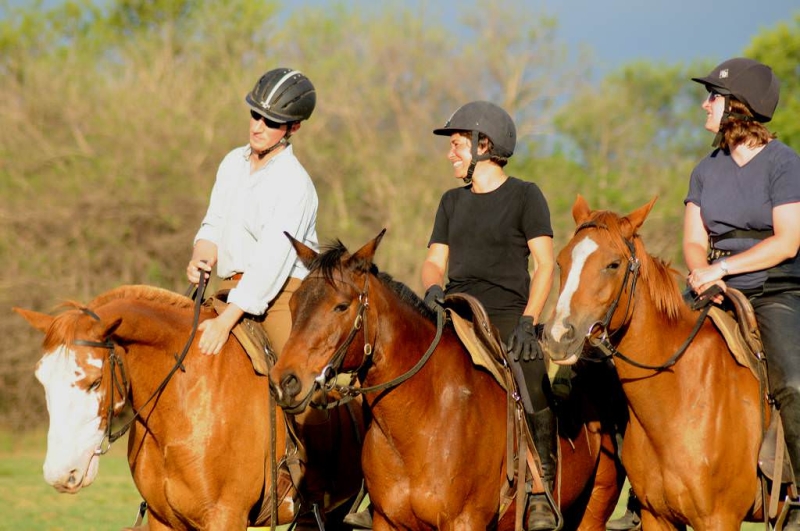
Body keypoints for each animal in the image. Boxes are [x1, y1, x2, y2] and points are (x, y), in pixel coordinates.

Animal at [268, 233, 624, 531]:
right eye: (294, 303)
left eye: (341, 306)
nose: (285, 382)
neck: (425, 415)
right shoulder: (388, 522)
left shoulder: (464, 522)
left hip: (595, 508)